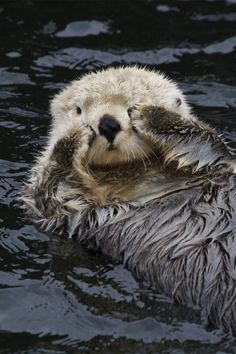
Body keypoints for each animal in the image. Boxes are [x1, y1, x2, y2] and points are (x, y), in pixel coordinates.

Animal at [20, 66, 236, 334]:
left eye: (132, 103)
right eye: (79, 109)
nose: (107, 124)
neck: (127, 174)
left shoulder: (214, 165)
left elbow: (206, 141)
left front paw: (151, 115)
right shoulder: (61, 210)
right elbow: (53, 194)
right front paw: (73, 139)